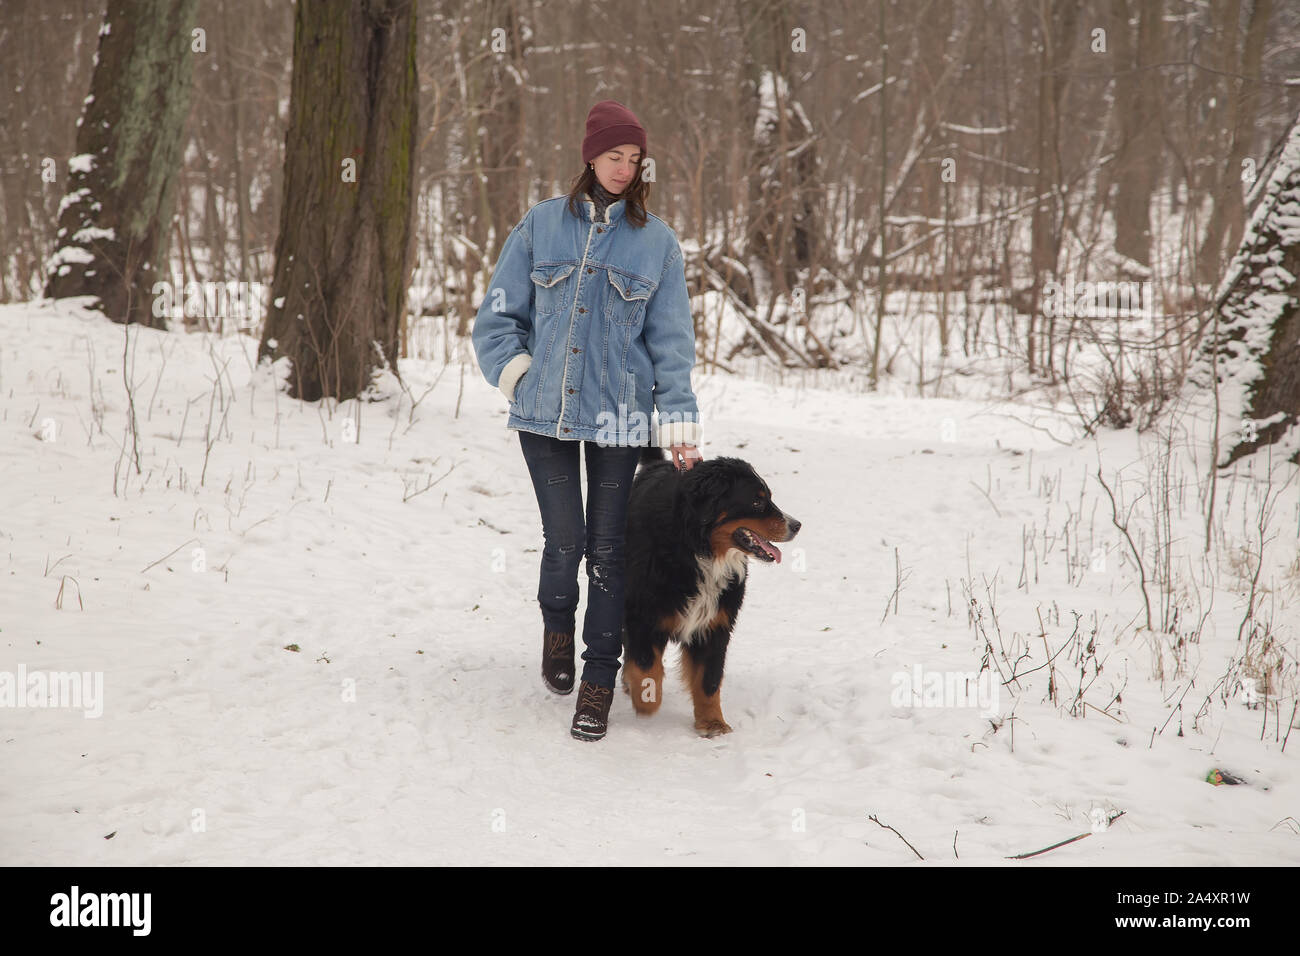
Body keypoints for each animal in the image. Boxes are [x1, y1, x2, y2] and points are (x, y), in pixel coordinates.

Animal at [621, 444, 800, 738]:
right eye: (756, 501)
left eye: (769, 497)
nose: (796, 525)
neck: (698, 550)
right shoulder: (642, 613)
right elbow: (648, 666)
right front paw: (646, 700)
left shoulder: (717, 623)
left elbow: (709, 679)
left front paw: (712, 722)